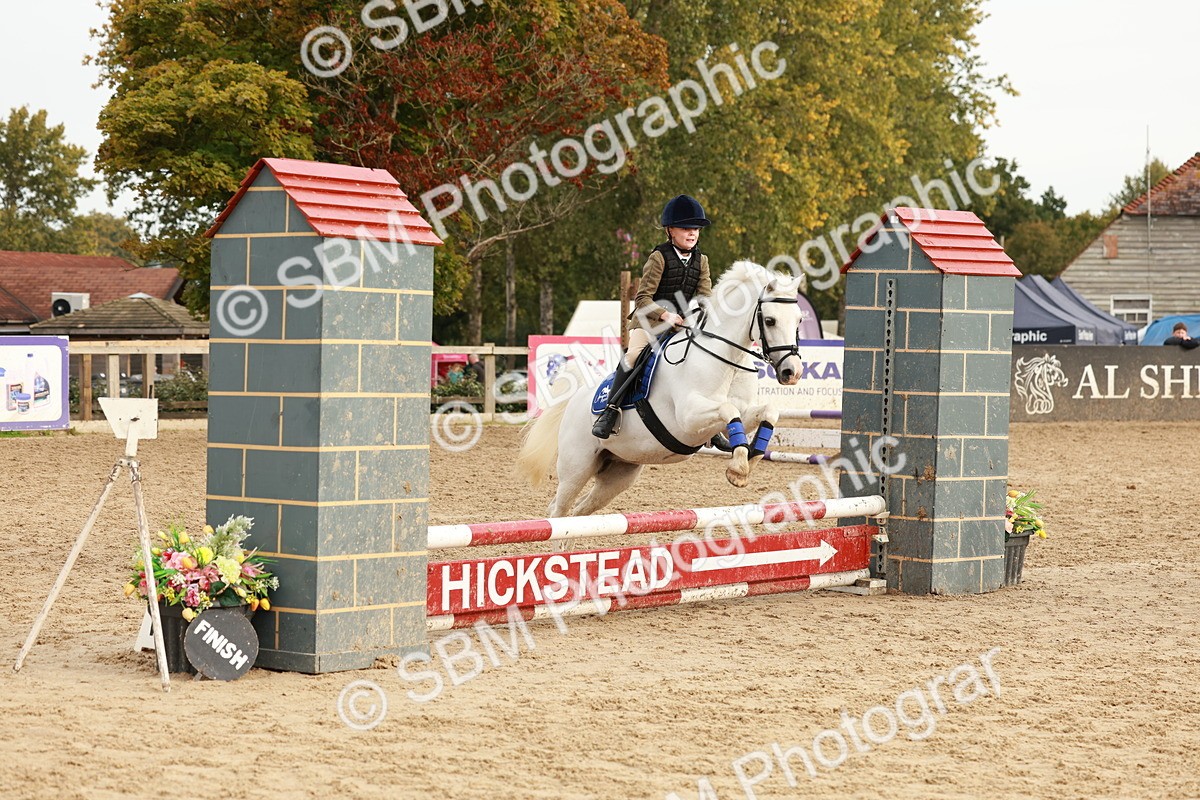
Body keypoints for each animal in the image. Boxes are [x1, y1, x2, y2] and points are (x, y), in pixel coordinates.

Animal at [515, 260, 806, 517]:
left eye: (799, 320)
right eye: (770, 320)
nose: (792, 372)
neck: (726, 357)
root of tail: (575, 398)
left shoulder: (739, 414)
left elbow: (767, 412)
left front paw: (751, 459)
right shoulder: (688, 417)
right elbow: (727, 408)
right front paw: (738, 469)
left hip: (619, 473)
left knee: (579, 512)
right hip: (576, 466)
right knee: (559, 511)